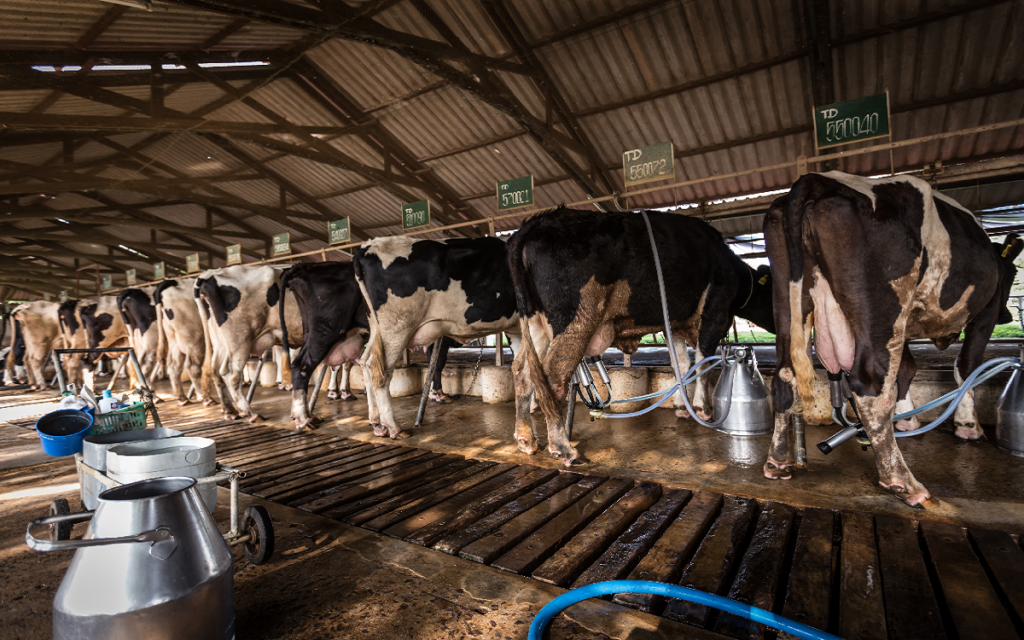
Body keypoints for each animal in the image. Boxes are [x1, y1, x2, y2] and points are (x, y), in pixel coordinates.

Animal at [194, 262, 299, 421]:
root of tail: (207, 276)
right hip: (240, 340)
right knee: (231, 374)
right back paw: (251, 413)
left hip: (220, 342)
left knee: (215, 370)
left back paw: (230, 410)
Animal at [356, 234, 524, 438]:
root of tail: (367, 246)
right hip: (397, 328)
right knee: (380, 372)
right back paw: (394, 427)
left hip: (376, 327)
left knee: (365, 362)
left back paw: (377, 423)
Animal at [507, 208, 770, 464]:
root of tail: (537, 221)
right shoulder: (716, 311)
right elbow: (703, 363)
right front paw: (701, 409)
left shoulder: (672, 322)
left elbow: (681, 364)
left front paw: (681, 406)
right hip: (576, 319)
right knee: (552, 377)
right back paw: (563, 448)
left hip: (535, 321)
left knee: (522, 370)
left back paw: (526, 440)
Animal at [765, 171, 1019, 509]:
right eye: (1014, 273)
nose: (1007, 316)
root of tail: (818, 178)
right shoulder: (985, 311)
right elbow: (966, 368)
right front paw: (968, 427)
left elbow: (907, 369)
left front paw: (907, 420)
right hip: (885, 306)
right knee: (871, 384)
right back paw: (903, 482)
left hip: (786, 299)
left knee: (784, 377)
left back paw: (778, 463)